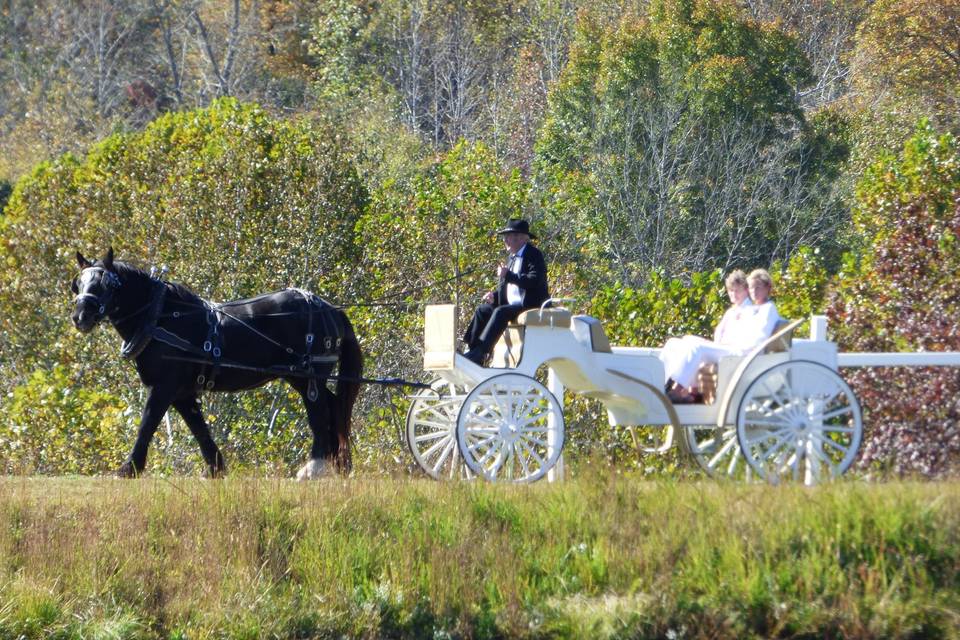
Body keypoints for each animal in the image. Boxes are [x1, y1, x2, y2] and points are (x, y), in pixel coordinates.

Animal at [70, 248, 364, 478]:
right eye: (79, 284)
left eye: (107, 285)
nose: (80, 316)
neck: (161, 317)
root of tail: (330, 309)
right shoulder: (182, 393)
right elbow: (198, 428)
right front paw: (216, 468)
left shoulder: (164, 386)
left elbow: (148, 423)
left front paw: (129, 468)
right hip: (299, 377)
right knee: (334, 407)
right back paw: (339, 465)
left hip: (309, 375)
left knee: (320, 413)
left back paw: (313, 468)